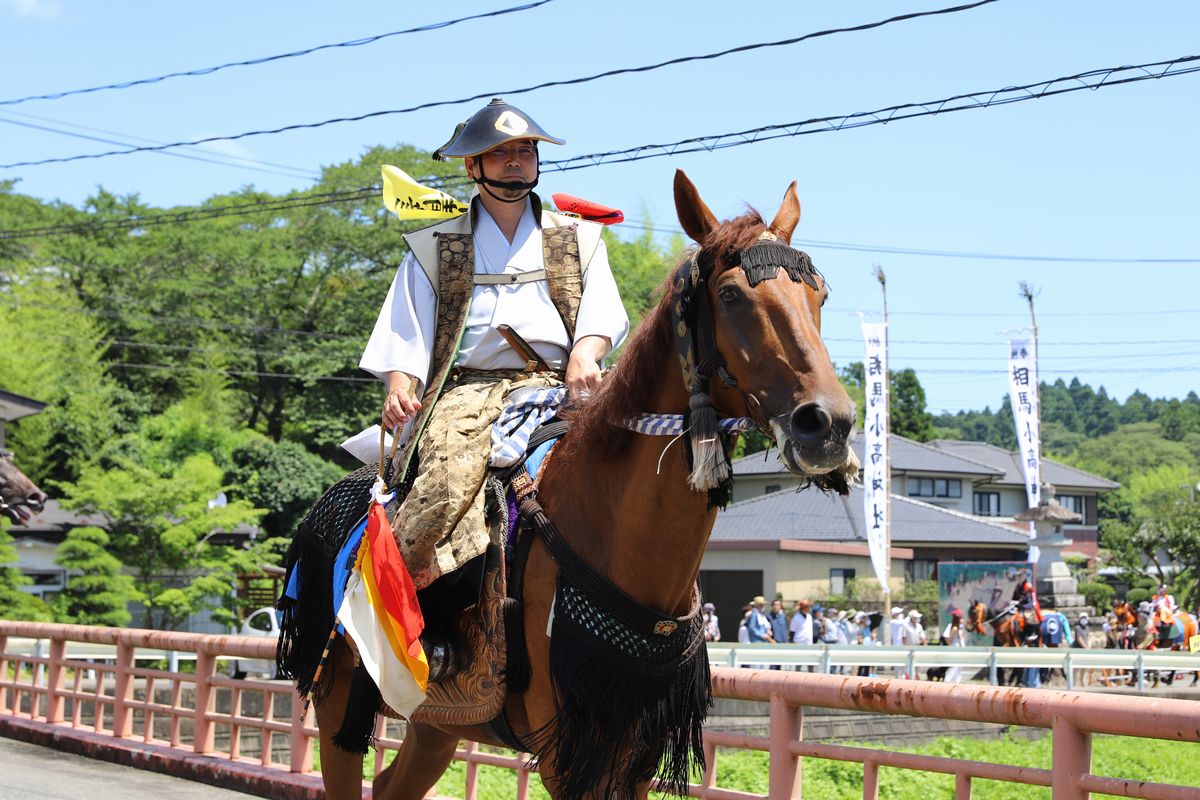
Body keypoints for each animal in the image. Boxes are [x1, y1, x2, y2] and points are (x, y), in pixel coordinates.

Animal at [304, 170, 859, 800]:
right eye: (731, 296)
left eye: (820, 296)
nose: (828, 424)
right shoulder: (570, 756)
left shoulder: (636, 752)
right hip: (338, 694)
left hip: (436, 722)